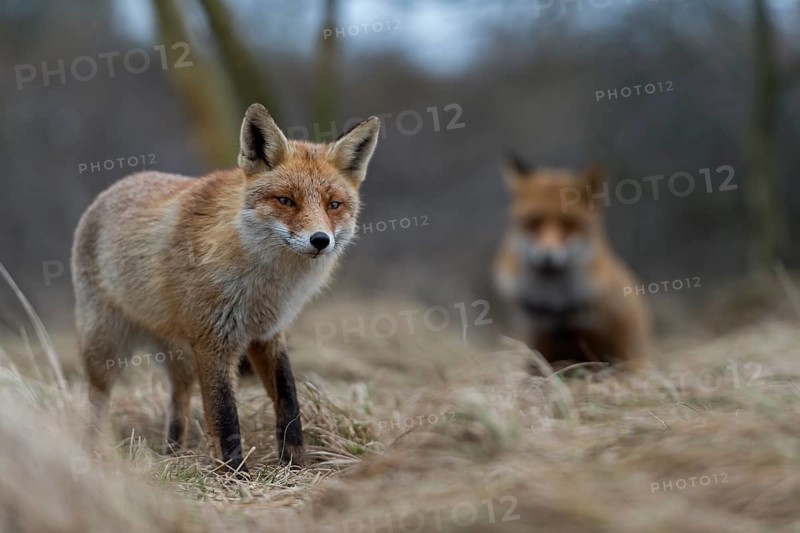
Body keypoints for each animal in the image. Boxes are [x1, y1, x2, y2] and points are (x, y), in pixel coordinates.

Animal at [72, 103, 381, 474]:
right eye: (285, 201)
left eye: (333, 204)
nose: (320, 240)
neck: (265, 287)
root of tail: (116, 185)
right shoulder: (214, 339)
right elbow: (224, 414)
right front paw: (236, 475)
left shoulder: (268, 334)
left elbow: (288, 400)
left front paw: (296, 465)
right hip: (105, 347)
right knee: (97, 399)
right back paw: (93, 454)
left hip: (180, 354)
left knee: (179, 397)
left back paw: (174, 454)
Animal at [494, 159, 652, 372]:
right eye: (533, 222)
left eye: (569, 224)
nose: (547, 254)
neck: (556, 301)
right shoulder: (537, 330)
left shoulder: (595, 327)